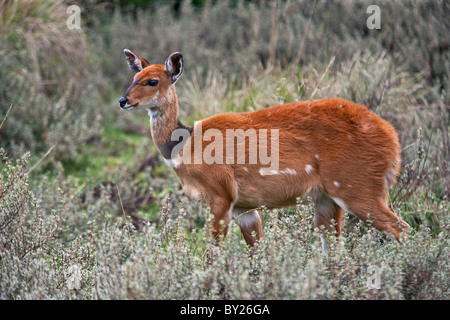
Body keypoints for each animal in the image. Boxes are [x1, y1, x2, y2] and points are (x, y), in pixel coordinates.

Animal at [118, 49, 410, 250]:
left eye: (152, 81)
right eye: (134, 77)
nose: (123, 100)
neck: (186, 145)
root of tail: (392, 141)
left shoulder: (221, 194)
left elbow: (213, 253)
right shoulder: (244, 207)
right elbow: (256, 250)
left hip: (356, 188)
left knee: (402, 229)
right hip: (327, 199)